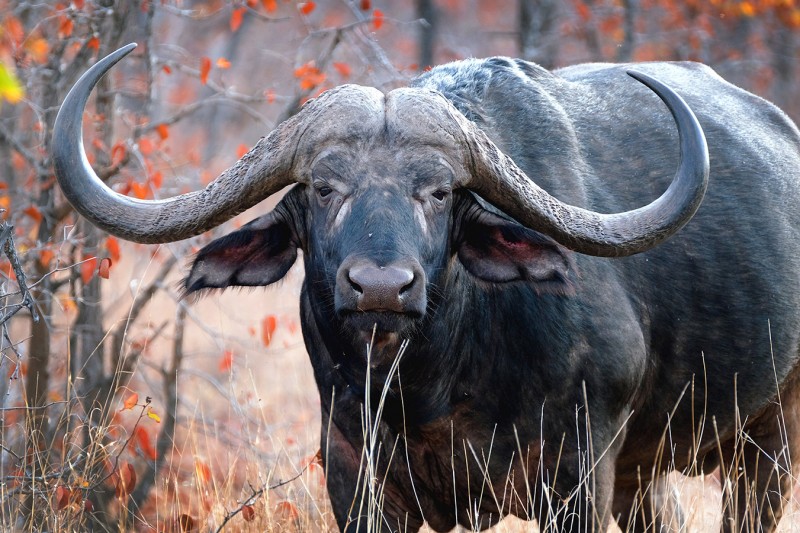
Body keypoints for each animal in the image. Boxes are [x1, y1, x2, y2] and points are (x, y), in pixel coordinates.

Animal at [53, 44, 800, 532]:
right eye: (323, 188)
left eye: (439, 192)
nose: (381, 286)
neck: (431, 385)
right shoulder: (355, 478)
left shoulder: (577, 477)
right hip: (649, 471)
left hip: (769, 442)